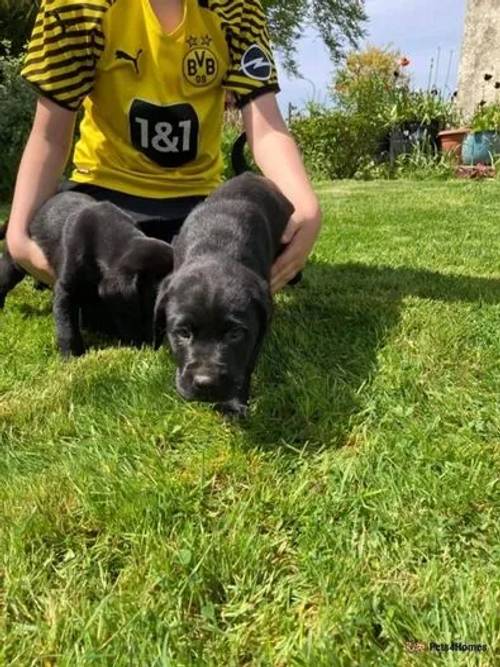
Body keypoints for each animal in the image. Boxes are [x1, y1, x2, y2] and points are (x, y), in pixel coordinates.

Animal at [153, 171, 292, 418]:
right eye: (183, 333)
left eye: (235, 334)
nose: (205, 383)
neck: (217, 246)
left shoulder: (253, 340)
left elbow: (245, 367)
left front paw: (233, 404)